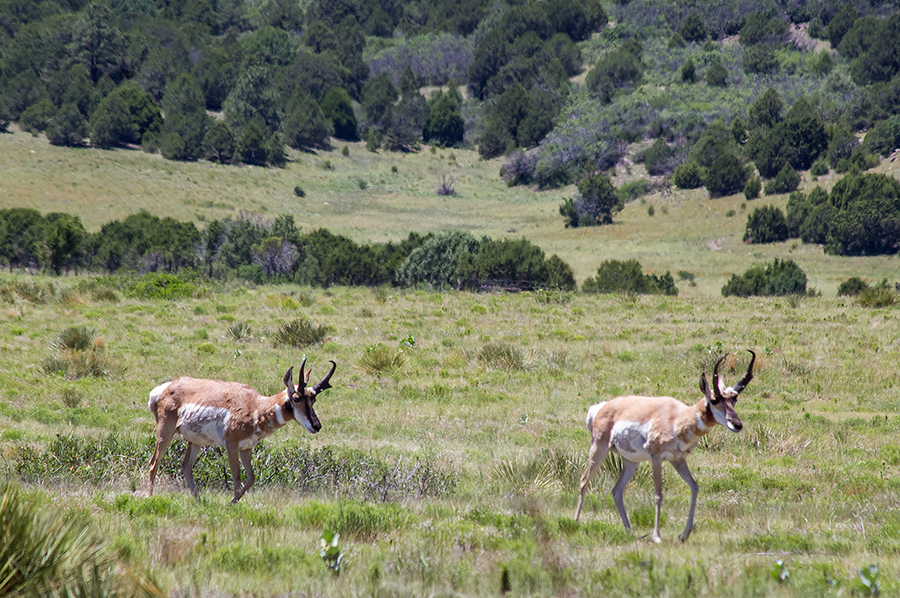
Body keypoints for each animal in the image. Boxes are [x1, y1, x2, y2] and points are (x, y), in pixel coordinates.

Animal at [149, 358, 338, 504]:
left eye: (313, 399)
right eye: (297, 398)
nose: (316, 426)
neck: (255, 406)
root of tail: (166, 388)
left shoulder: (246, 449)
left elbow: (251, 478)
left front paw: (234, 501)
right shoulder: (231, 445)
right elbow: (236, 476)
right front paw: (231, 503)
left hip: (195, 441)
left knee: (186, 466)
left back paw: (199, 500)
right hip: (165, 433)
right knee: (154, 463)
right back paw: (150, 497)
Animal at [576, 352, 752, 544]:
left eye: (734, 399)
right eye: (714, 400)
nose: (737, 424)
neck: (677, 417)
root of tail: (602, 407)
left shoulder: (678, 459)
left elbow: (694, 487)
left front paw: (684, 534)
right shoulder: (656, 458)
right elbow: (658, 495)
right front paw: (657, 536)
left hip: (631, 461)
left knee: (617, 490)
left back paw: (629, 531)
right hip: (599, 449)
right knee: (584, 481)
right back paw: (576, 522)